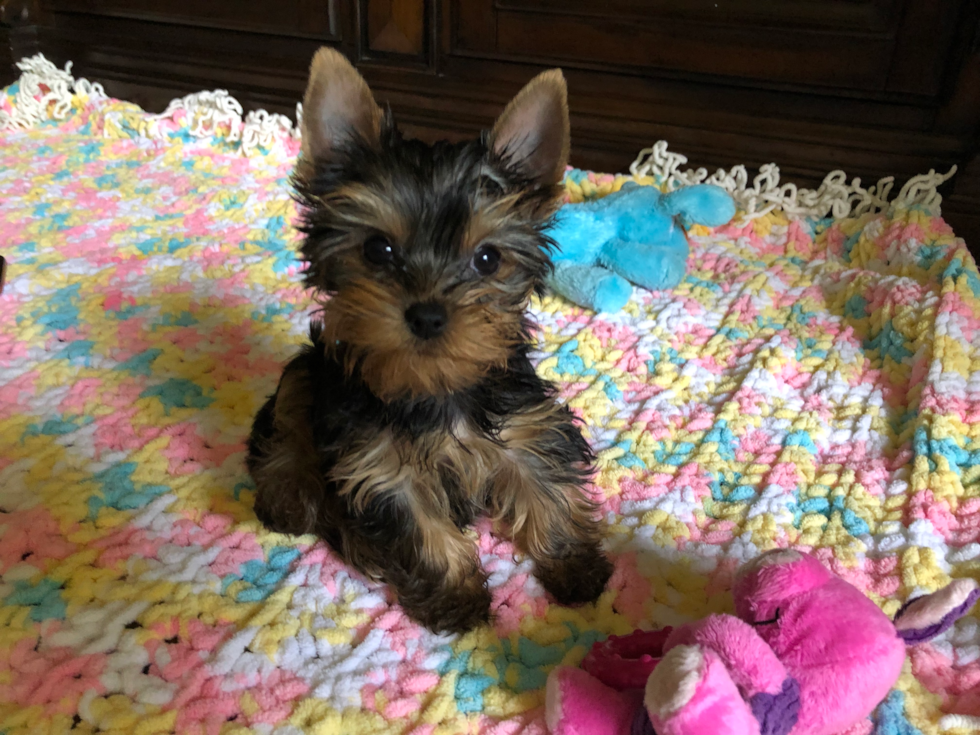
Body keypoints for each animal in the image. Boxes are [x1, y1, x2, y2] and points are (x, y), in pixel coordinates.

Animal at [247, 47, 612, 632]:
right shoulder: (380, 467)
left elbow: (545, 485)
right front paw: (455, 597)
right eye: (377, 249)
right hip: (314, 365)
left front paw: (574, 564)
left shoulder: (527, 428)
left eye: (487, 258)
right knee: (286, 417)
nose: (428, 314)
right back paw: (288, 492)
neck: (435, 387)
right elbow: (421, 530)